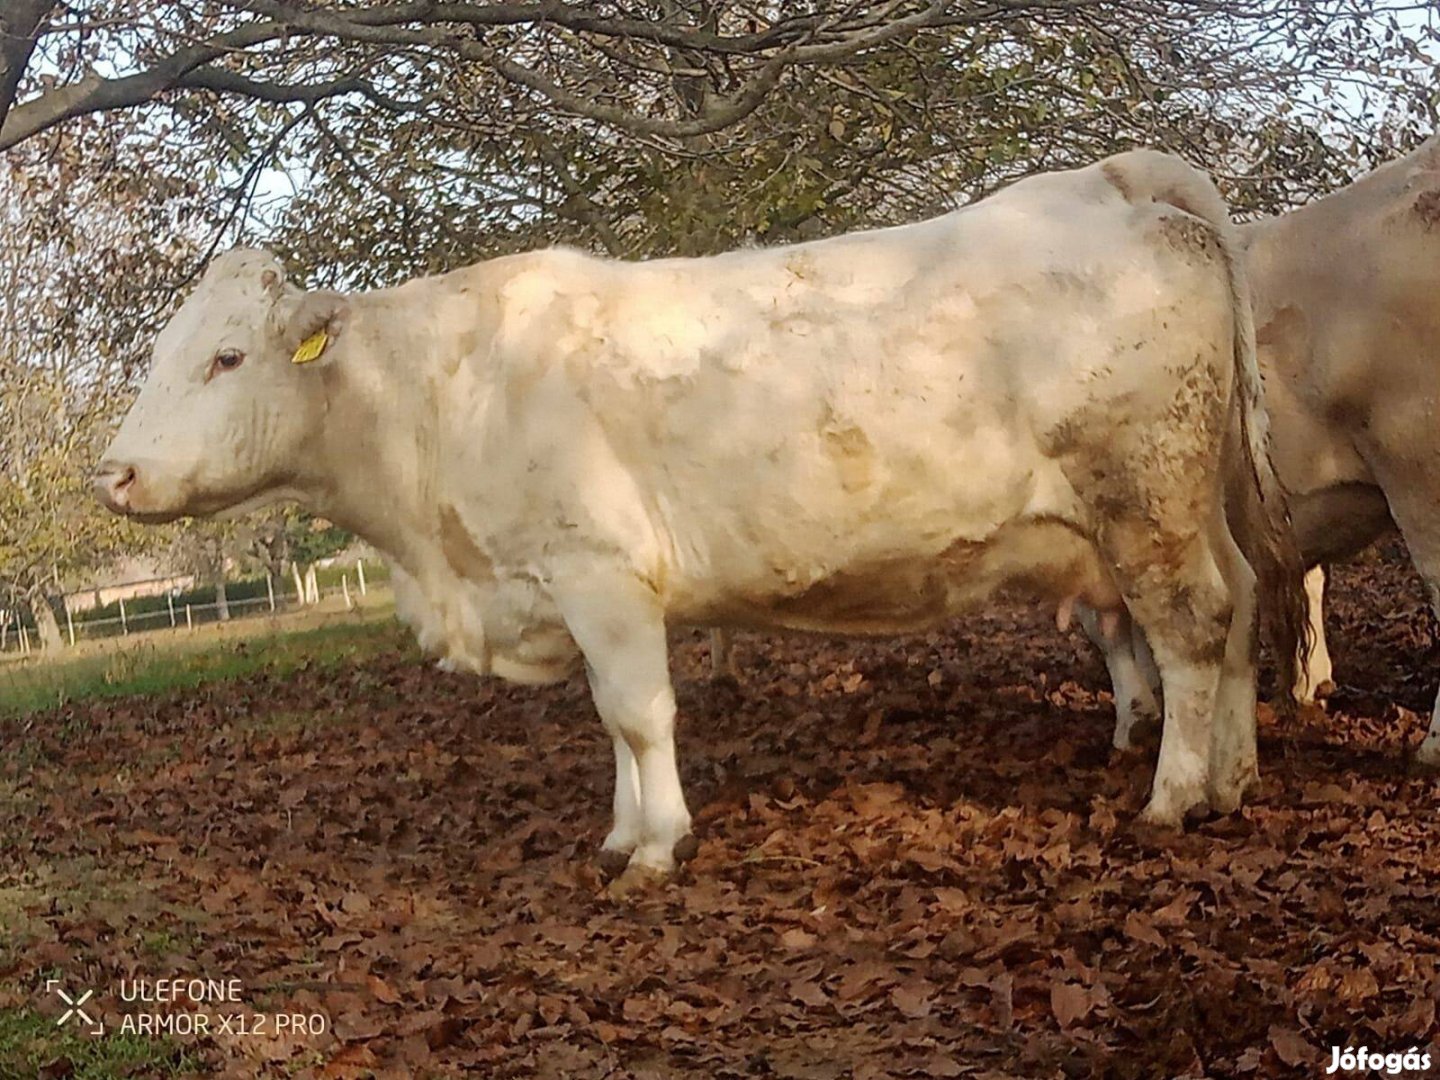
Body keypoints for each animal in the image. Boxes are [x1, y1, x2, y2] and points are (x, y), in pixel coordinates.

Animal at [98, 148, 1307, 887]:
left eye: (226, 356)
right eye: (165, 351)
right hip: (1191, 499)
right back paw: (1236, 779)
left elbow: (638, 716)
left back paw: (1173, 796)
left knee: (1191, 627)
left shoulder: (600, 575)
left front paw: (654, 845)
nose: (114, 473)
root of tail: (1107, 182)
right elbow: (610, 724)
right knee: (1244, 605)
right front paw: (621, 831)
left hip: (1142, 500)